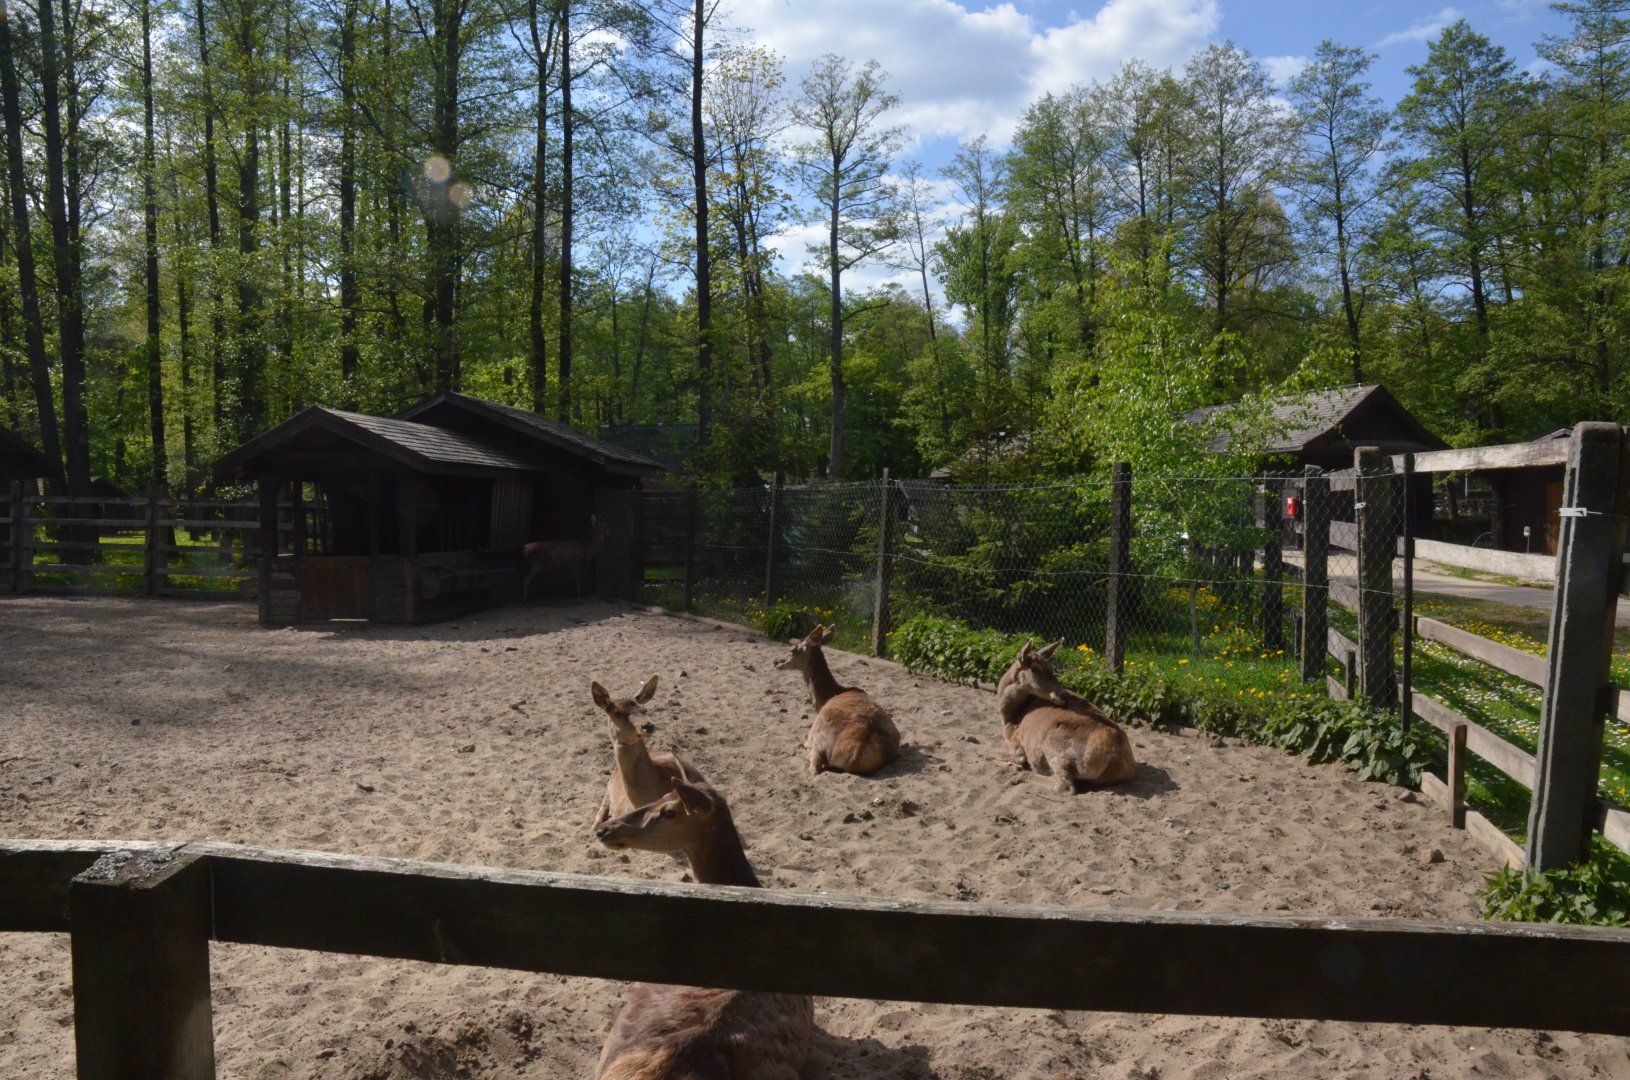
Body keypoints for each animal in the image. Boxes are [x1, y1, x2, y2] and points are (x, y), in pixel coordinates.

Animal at [774, 624, 900, 776]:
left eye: (792, 649)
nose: (775, 662)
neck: (825, 698)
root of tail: (857, 754)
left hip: (819, 740)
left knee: (815, 764)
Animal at [994, 639, 1137, 792]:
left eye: (1051, 669)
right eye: (1035, 669)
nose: (1063, 694)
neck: (1009, 717)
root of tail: (1117, 758)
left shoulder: (1015, 741)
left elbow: (994, 753)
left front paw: (1014, 766)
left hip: (1055, 746)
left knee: (1063, 784)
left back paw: (1015, 777)